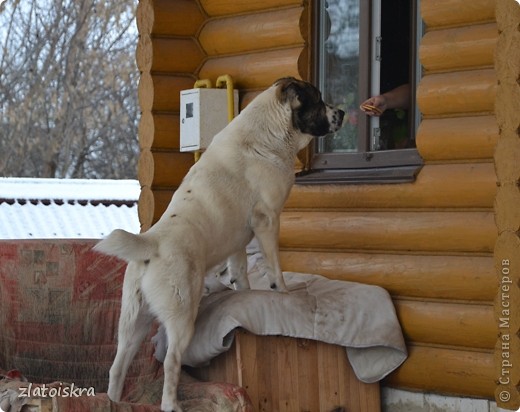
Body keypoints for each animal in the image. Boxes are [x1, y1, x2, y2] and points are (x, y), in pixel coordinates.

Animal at [94, 76, 346, 408]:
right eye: (317, 100)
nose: (342, 113)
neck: (268, 132)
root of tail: (152, 243)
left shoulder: (238, 242)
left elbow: (241, 274)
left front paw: (245, 295)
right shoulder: (267, 221)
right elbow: (275, 267)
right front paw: (284, 294)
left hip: (132, 323)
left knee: (117, 366)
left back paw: (113, 401)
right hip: (182, 316)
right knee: (171, 362)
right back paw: (172, 404)